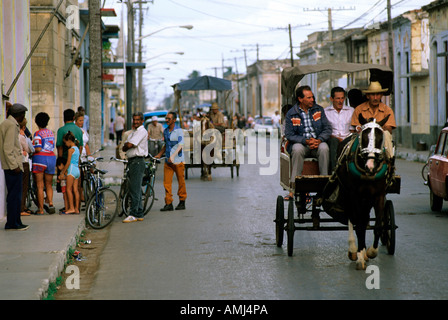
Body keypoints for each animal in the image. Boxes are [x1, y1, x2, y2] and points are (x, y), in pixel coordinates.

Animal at [324, 114, 394, 268]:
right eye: (364, 137)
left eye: (380, 138)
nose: (370, 166)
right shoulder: (354, 194)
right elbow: (359, 225)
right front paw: (361, 256)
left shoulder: (379, 195)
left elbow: (378, 226)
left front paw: (371, 252)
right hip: (349, 194)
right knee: (352, 218)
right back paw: (353, 250)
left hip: (367, 199)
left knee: (364, 217)